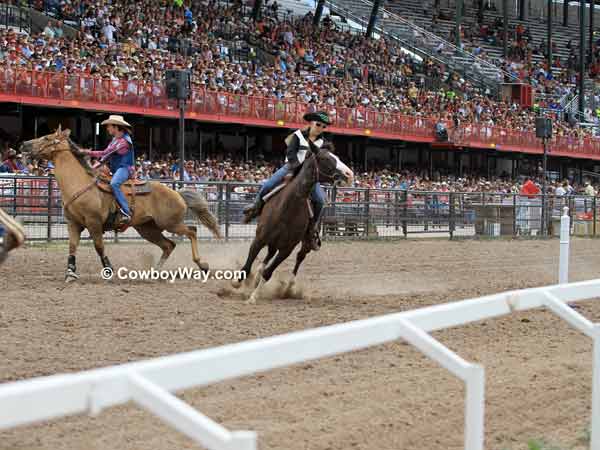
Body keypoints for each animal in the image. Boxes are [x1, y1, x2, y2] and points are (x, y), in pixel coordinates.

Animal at [21, 127, 224, 282]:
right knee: (168, 245)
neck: (78, 183)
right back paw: (155, 272)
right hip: (148, 228)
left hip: (170, 223)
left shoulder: (94, 223)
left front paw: (109, 271)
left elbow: (99, 246)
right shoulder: (73, 224)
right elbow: (72, 247)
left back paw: (203, 265)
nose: (24, 144)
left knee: (192, 232)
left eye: (47, 137)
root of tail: (176, 193)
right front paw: (70, 274)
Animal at [232, 146, 354, 304]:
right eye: (325, 158)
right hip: (272, 240)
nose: (349, 174)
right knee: (269, 254)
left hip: (305, 242)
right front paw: (237, 282)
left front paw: (254, 296)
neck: (287, 206)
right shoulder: (259, 239)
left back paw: (289, 285)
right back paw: (257, 275)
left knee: (299, 257)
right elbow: (248, 265)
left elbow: (268, 273)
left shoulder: (287, 249)